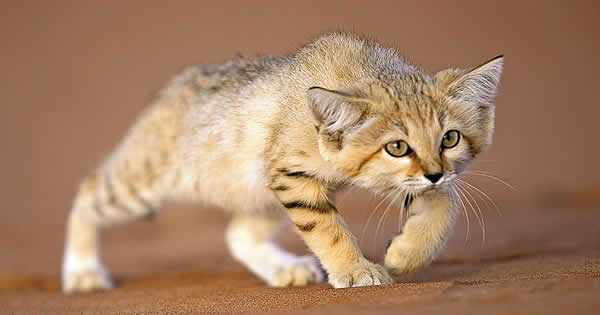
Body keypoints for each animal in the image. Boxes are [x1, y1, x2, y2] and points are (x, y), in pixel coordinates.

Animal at [62, 32, 502, 294]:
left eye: (449, 139)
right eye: (397, 147)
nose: (435, 173)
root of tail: (167, 90)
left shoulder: (390, 180)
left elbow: (446, 205)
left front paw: (405, 253)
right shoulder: (294, 176)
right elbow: (328, 229)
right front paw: (356, 270)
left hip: (260, 192)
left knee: (238, 234)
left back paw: (284, 269)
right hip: (145, 184)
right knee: (86, 192)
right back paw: (83, 271)